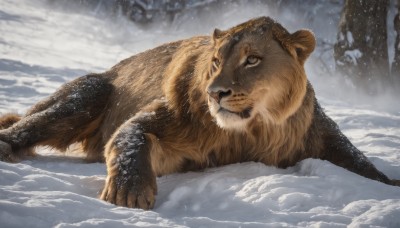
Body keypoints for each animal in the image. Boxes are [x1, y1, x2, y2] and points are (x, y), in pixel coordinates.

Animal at [0, 16, 396, 209]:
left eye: (252, 60)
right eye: (217, 61)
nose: (215, 93)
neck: (253, 129)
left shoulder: (318, 131)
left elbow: (360, 163)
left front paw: (389, 188)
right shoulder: (165, 124)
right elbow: (131, 138)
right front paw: (129, 192)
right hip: (87, 93)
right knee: (27, 124)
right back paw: (5, 145)